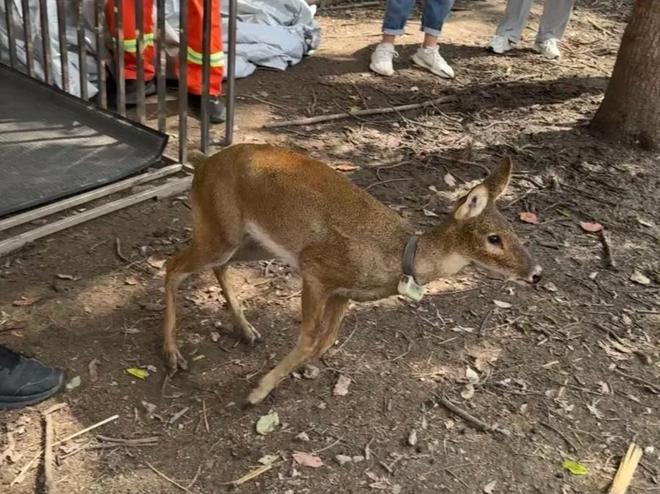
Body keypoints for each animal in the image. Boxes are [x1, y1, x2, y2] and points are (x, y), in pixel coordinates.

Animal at [161, 144, 540, 406]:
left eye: (513, 230)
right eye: (494, 238)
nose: (536, 272)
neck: (397, 258)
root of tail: (201, 163)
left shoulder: (343, 293)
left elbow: (327, 339)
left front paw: (298, 372)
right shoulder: (316, 270)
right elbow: (310, 337)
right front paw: (256, 392)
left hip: (249, 241)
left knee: (215, 266)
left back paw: (246, 330)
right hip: (219, 227)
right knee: (172, 266)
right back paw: (173, 354)